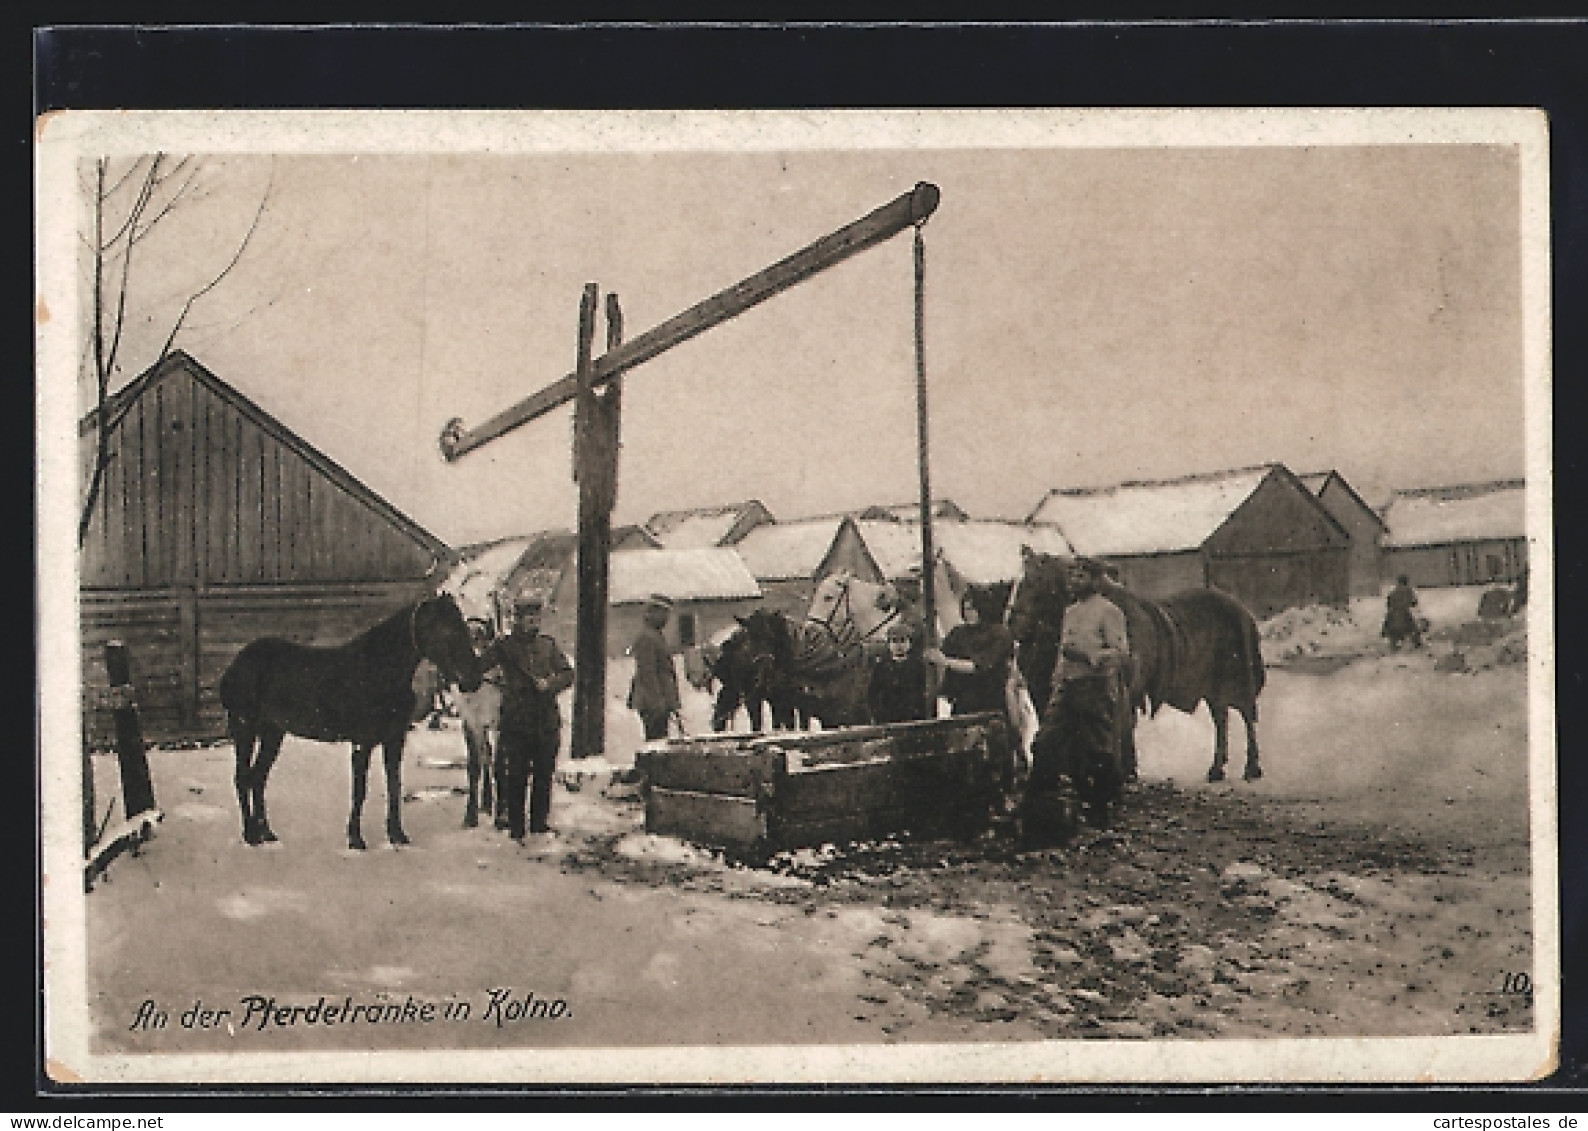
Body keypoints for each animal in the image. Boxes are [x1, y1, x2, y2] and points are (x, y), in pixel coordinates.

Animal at [220, 590, 482, 851]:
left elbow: (394, 785)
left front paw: (397, 836)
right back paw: (251, 835)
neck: (379, 673)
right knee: (242, 778)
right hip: (245, 728)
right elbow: (360, 790)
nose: (473, 679)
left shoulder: (394, 740)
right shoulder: (361, 743)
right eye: (447, 632)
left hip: (272, 733)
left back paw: (267, 833)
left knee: (257, 777)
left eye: (463, 628)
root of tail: (237, 664)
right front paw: (356, 839)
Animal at [1016, 549, 1264, 781]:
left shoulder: (1126, 688)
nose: (1015, 624)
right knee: (1221, 720)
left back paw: (1251, 768)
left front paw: (1125, 770)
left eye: (1035, 581)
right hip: (1214, 689)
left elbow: (1122, 725)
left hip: (1237, 682)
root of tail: (1243, 610)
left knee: (1247, 717)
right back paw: (1216, 769)